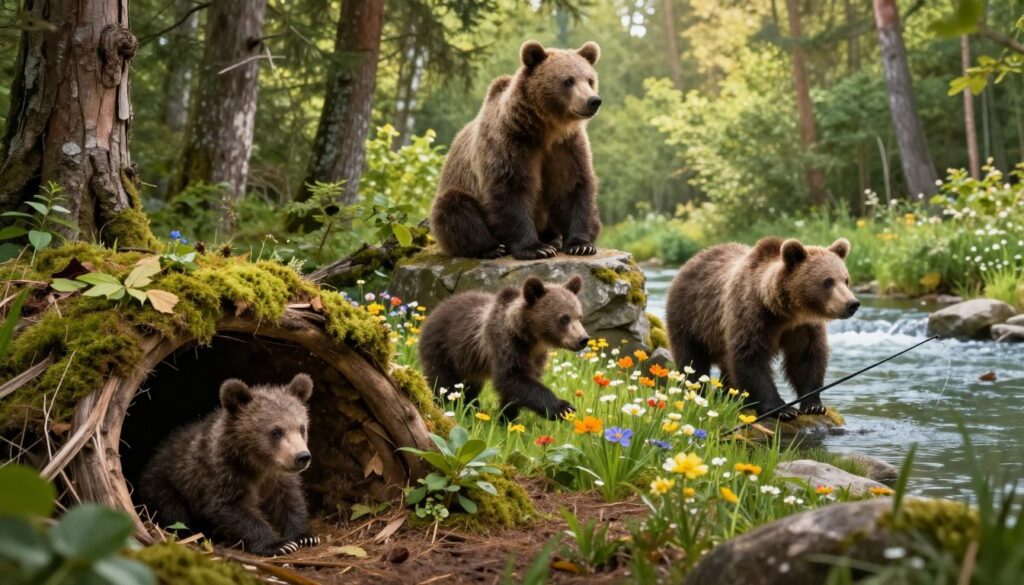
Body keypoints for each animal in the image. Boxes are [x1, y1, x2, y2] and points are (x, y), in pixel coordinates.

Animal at [138, 374, 319, 556]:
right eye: (276, 432)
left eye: (301, 428)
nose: (302, 456)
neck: (257, 464)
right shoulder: (223, 472)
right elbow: (233, 507)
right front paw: (278, 544)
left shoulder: (277, 477)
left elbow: (289, 500)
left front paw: (305, 537)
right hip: (166, 485)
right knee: (173, 512)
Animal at [418, 276, 589, 420]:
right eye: (564, 318)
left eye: (579, 316)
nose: (583, 339)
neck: (530, 338)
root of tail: (435, 310)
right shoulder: (504, 344)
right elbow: (511, 378)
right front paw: (563, 407)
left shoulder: (536, 355)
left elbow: (521, 385)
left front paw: (506, 417)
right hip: (442, 348)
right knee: (443, 383)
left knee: (470, 386)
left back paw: (471, 408)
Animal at [429, 40, 603, 260]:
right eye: (568, 80)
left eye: (589, 80)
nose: (593, 101)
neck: (547, 129)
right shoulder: (511, 143)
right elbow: (511, 189)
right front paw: (536, 248)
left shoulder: (567, 147)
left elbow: (573, 186)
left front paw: (581, 244)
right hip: (458, 188)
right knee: (455, 210)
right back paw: (492, 247)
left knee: (594, 216)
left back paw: (555, 238)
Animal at [665, 238, 860, 421]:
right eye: (827, 281)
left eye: (846, 280)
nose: (852, 304)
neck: (785, 312)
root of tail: (691, 260)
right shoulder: (751, 315)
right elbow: (751, 358)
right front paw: (783, 410)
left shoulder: (804, 327)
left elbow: (805, 357)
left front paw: (813, 404)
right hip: (690, 318)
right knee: (692, 361)